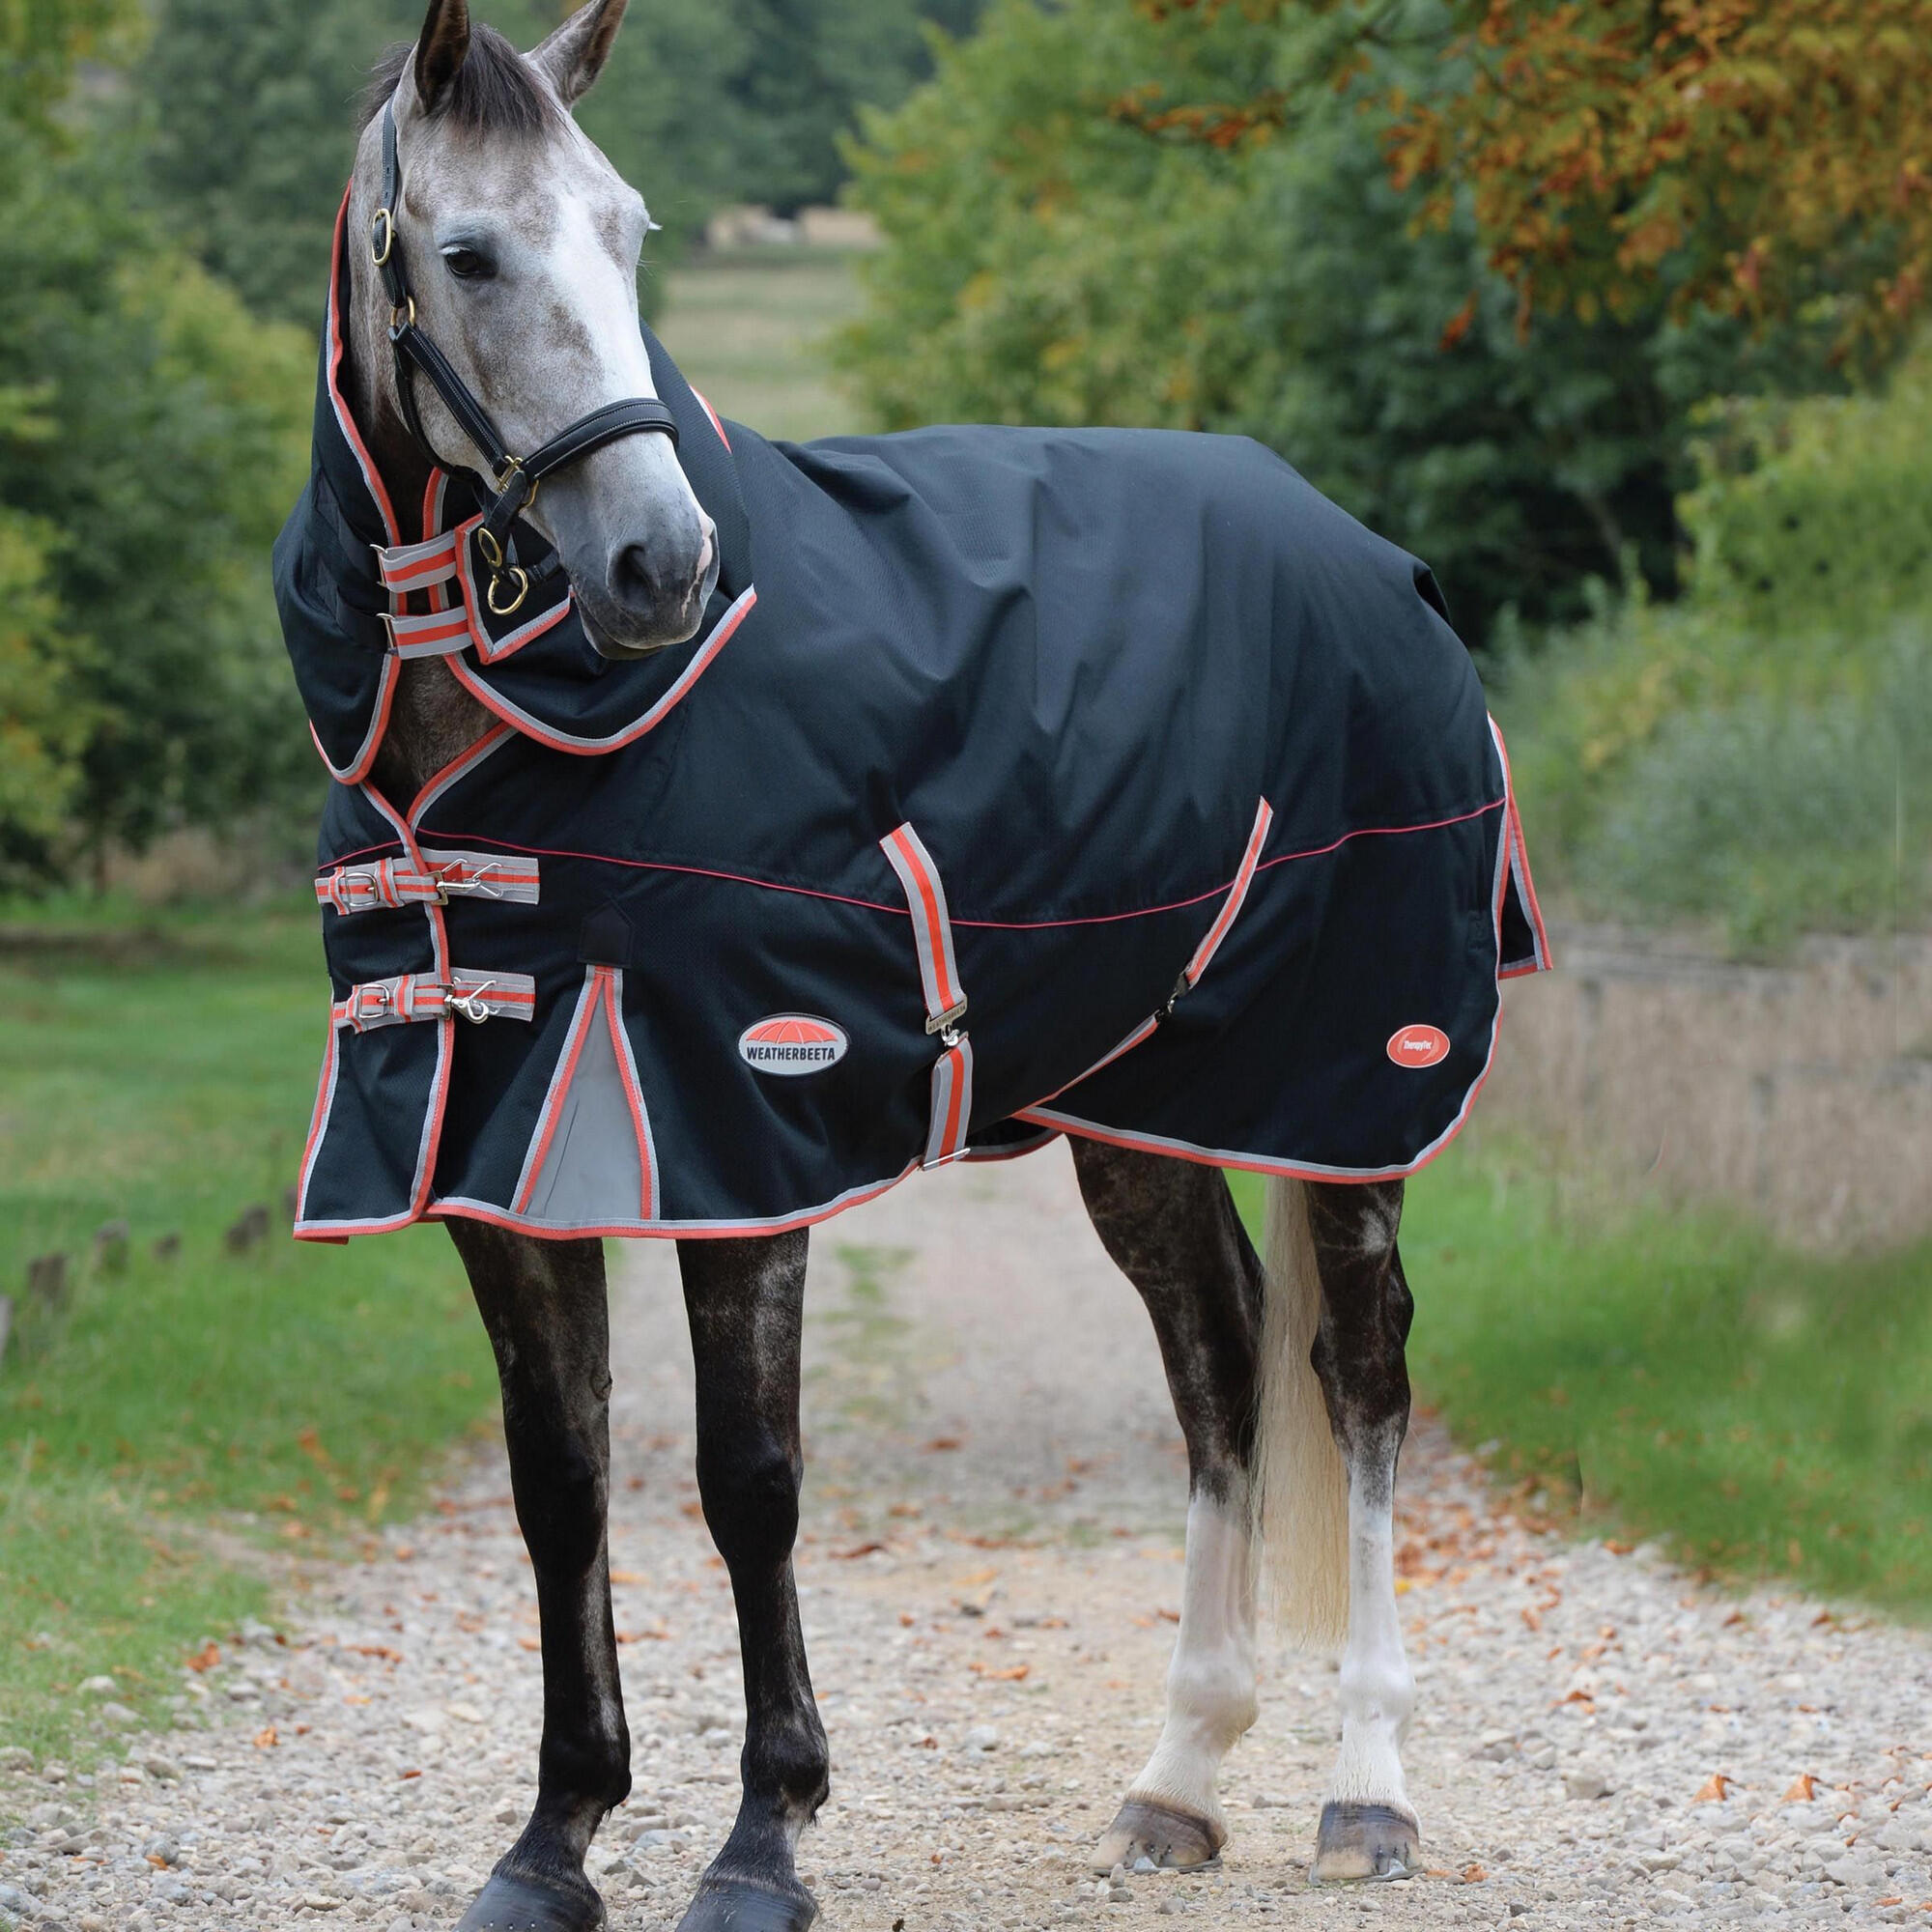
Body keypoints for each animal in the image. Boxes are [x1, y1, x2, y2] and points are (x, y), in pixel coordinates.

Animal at [313, 7, 1522, 1924]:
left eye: (630, 232)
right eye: (473, 251)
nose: (658, 563)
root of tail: (1379, 561)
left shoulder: (740, 1124)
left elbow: (748, 1482)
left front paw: (762, 1840)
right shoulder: (493, 1138)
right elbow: (558, 1486)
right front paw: (554, 1840)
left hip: (1349, 1089)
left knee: (1362, 1378)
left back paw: (1367, 1791)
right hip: (1146, 1112)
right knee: (1218, 1366)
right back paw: (1179, 1780)